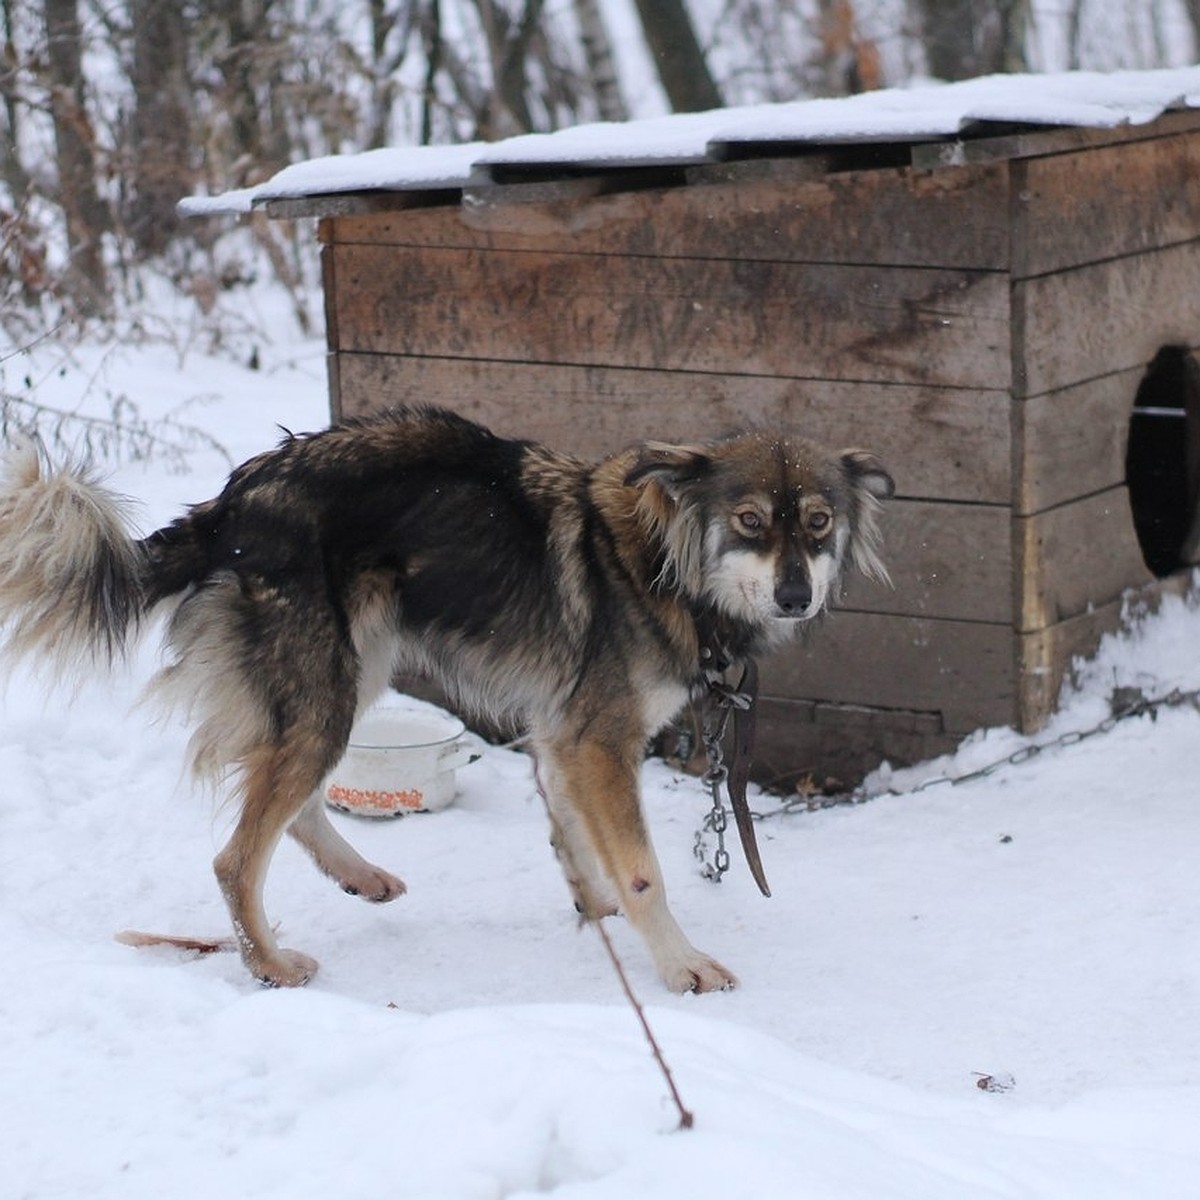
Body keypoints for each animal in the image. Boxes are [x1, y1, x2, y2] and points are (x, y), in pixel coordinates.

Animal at [0, 408, 888, 988]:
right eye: (750, 522)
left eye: (816, 524)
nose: (796, 596)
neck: (658, 563)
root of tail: (229, 506)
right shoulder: (600, 741)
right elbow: (644, 871)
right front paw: (679, 964)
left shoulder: (563, 737)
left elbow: (578, 838)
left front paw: (592, 907)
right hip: (329, 688)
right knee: (236, 856)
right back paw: (271, 965)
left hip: (350, 677)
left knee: (291, 805)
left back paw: (359, 877)